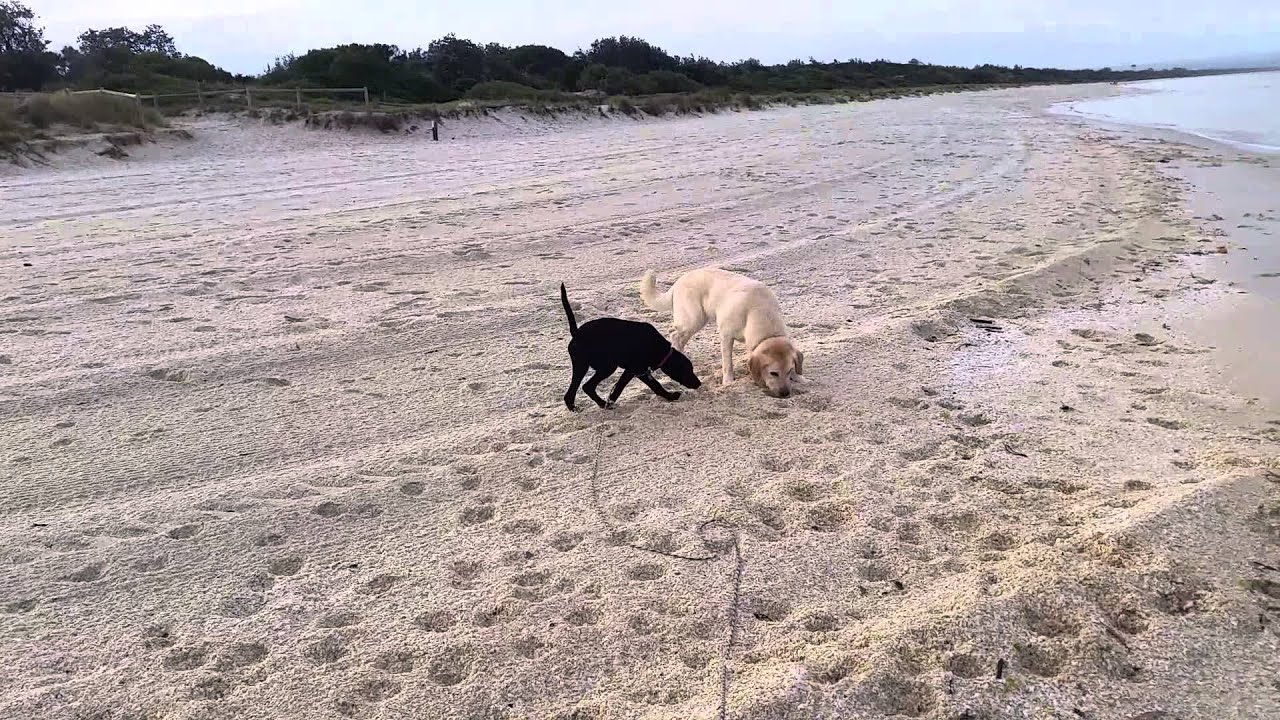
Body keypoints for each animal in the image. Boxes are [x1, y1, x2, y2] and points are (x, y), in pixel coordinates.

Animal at [560, 283, 701, 411]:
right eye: (688, 370)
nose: (699, 383)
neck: (659, 348)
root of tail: (577, 333)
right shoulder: (632, 370)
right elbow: (619, 388)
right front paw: (610, 401)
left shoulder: (641, 371)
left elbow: (655, 386)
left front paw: (669, 396)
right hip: (605, 366)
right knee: (587, 386)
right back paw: (603, 404)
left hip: (582, 366)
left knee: (573, 391)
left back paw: (578, 406)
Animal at [639, 267, 803, 398]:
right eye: (773, 373)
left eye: (789, 371)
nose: (785, 393)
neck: (760, 312)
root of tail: (678, 281)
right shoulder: (726, 336)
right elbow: (727, 363)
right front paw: (728, 381)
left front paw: (800, 378)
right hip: (694, 319)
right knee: (675, 335)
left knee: (679, 337)